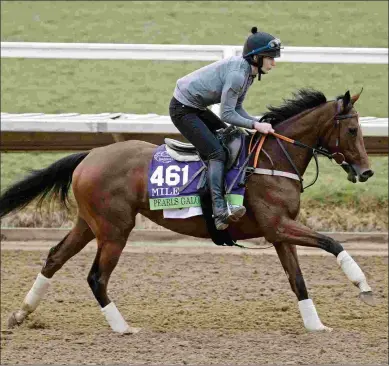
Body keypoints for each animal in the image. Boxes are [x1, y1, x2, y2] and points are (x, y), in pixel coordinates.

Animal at [0, 88, 376, 334]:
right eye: (352, 130)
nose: (367, 172)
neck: (272, 160)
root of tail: (90, 155)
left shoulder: (279, 231)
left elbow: (297, 279)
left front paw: (316, 324)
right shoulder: (279, 226)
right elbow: (333, 243)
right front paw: (363, 286)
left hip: (88, 223)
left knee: (54, 257)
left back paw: (21, 314)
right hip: (114, 230)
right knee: (96, 277)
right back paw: (123, 328)